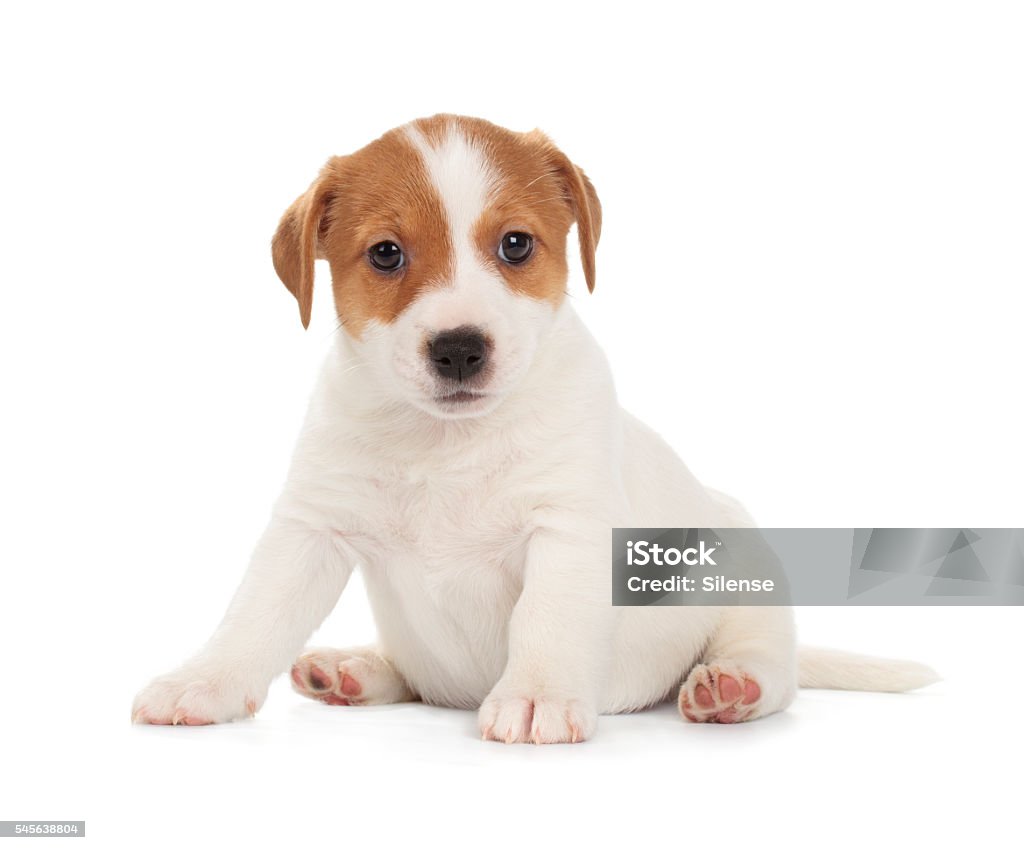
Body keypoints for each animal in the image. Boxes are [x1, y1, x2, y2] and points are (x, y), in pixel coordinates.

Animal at [130, 114, 937, 745]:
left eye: (516, 245)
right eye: (386, 253)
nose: (459, 347)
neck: (447, 443)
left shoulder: (568, 530)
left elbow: (547, 620)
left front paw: (536, 695)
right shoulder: (310, 528)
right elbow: (254, 615)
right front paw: (202, 680)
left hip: (748, 575)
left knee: (773, 663)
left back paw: (732, 687)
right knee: (409, 675)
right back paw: (354, 670)